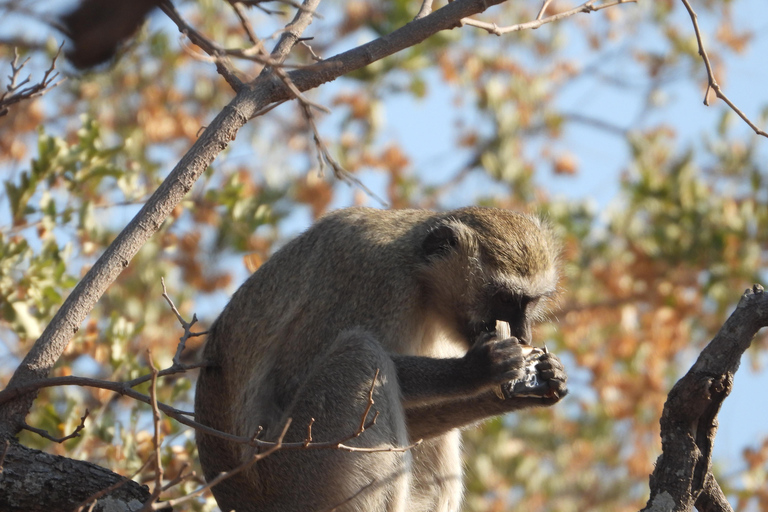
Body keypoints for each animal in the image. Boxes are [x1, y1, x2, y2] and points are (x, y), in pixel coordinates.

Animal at [195, 206, 568, 512]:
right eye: (504, 298)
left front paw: (536, 385)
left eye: (531, 302)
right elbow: (293, 381)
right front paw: (474, 370)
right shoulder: (373, 281)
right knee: (360, 353)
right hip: (294, 478)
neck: (420, 276)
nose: (523, 336)